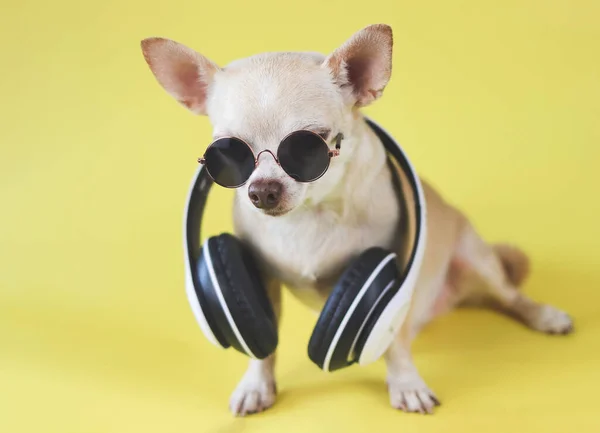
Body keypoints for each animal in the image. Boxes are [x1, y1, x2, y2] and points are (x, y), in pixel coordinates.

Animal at [142, 23, 576, 416]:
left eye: (309, 147)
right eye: (227, 153)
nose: (262, 190)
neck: (310, 216)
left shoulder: (396, 271)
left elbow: (394, 339)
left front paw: (406, 383)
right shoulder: (257, 279)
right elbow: (262, 342)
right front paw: (256, 385)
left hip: (477, 259)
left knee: (510, 296)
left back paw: (545, 316)